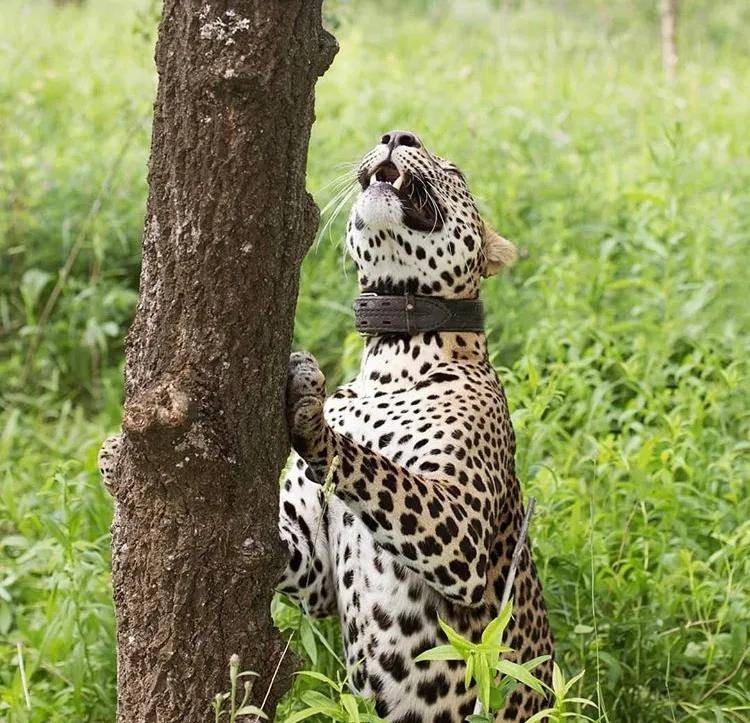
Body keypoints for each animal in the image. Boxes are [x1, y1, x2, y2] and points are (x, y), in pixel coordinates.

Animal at [280, 132, 556, 723]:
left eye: (455, 170)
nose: (396, 135)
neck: (391, 354)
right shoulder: (315, 574)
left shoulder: (462, 534)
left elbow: (378, 468)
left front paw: (314, 413)